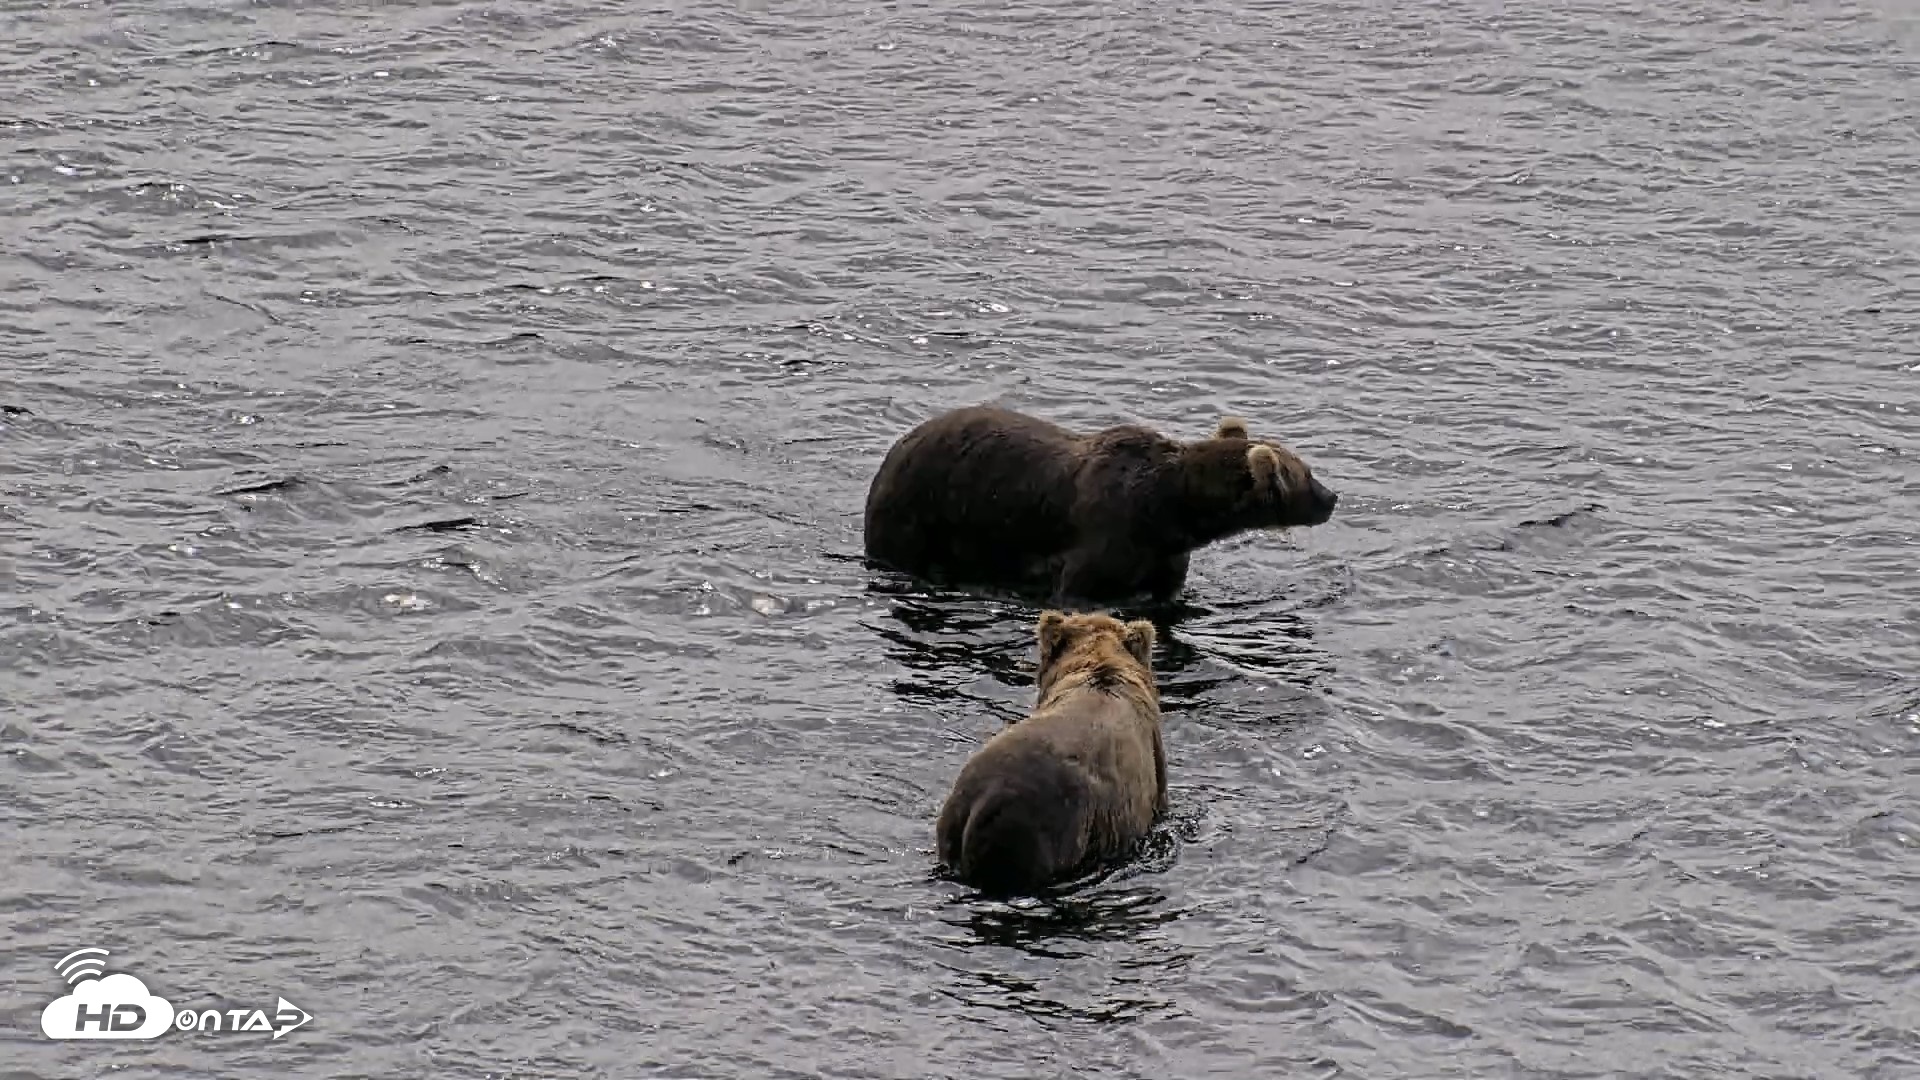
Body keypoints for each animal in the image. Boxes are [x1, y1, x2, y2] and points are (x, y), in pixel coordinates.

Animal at [863, 404, 1339, 605]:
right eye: (1306, 474)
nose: (1332, 498)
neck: (1168, 510)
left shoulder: (1164, 556)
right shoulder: (1105, 537)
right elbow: (1079, 589)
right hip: (921, 513)